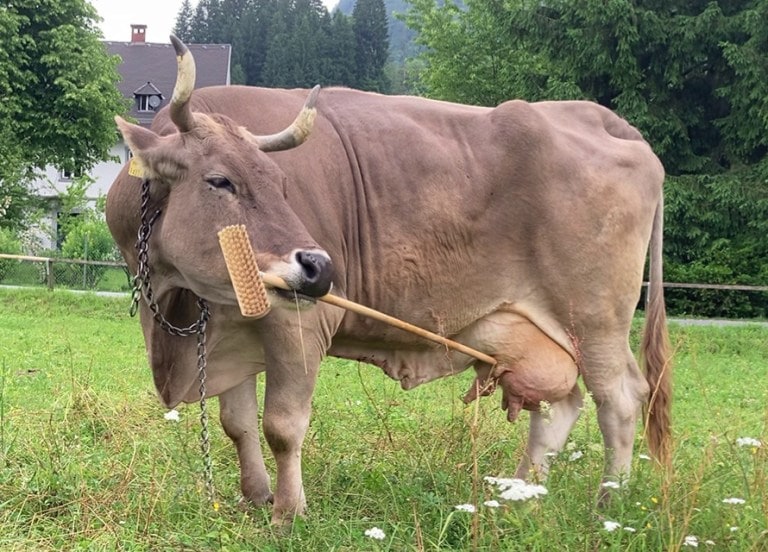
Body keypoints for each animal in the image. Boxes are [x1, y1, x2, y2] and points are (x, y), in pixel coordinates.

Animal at [106, 36, 671, 523]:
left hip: (595, 321)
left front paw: (288, 513)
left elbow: (282, 427)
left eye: (283, 184)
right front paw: (255, 499)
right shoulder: (231, 329)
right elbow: (237, 424)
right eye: (220, 180)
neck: (176, 304)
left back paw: (609, 506)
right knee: (561, 405)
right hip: (534, 333)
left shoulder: (299, 327)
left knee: (620, 401)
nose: (320, 267)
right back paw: (519, 495)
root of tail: (602, 118)